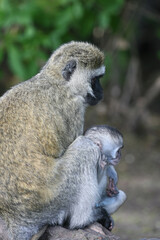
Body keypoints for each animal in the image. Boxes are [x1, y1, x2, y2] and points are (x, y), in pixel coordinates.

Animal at [0, 42, 106, 239]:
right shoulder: (74, 108)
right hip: (48, 200)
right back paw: (83, 220)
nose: (101, 92)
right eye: (95, 80)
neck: (56, 80)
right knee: (85, 147)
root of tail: (12, 217)